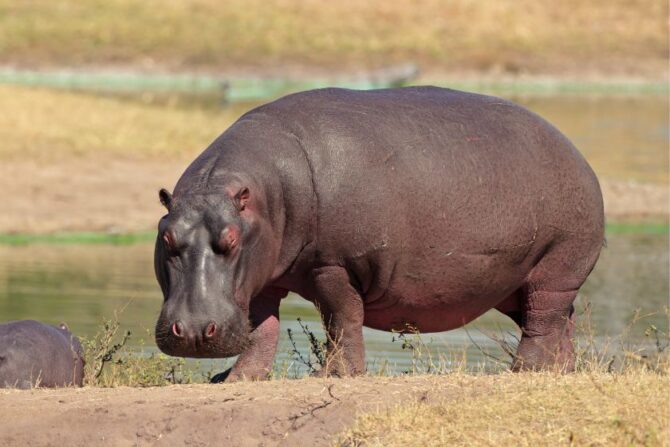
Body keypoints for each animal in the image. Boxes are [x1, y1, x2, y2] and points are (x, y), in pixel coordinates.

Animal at [154, 87, 604, 381]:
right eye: (167, 239)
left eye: (231, 240)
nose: (193, 331)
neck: (262, 196)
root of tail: (576, 152)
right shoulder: (262, 276)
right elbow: (260, 329)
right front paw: (236, 379)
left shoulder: (333, 264)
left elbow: (341, 319)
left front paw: (333, 376)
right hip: (511, 284)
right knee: (558, 320)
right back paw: (564, 370)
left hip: (556, 266)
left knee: (543, 320)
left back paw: (525, 371)